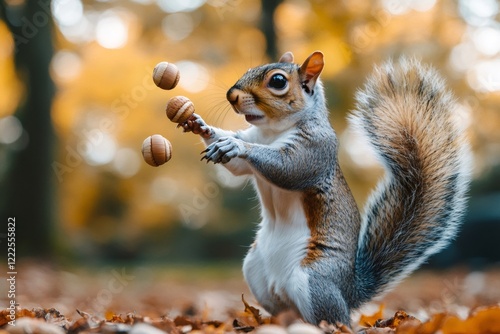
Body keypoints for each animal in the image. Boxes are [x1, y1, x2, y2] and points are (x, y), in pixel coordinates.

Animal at [180, 51, 472, 324]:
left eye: (278, 81)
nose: (232, 95)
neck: (271, 132)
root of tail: (349, 292)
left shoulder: (316, 148)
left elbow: (289, 168)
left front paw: (236, 145)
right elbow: (238, 165)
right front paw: (201, 125)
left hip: (315, 280)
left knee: (333, 318)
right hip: (256, 271)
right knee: (285, 312)